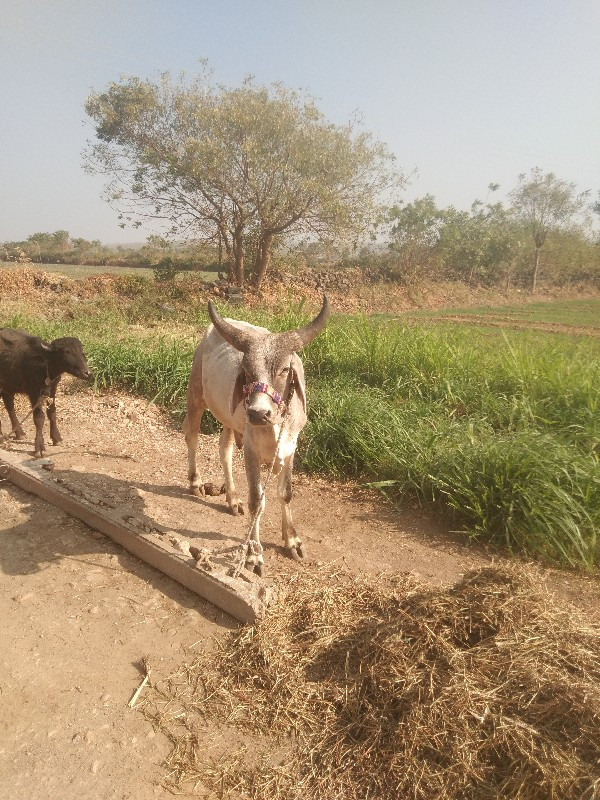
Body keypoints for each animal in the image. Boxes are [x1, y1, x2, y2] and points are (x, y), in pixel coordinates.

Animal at [185, 296, 330, 572]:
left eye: (284, 369)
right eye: (246, 370)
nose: (257, 413)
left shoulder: (290, 447)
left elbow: (285, 493)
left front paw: (292, 540)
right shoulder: (251, 450)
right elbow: (256, 500)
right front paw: (253, 553)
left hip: (230, 419)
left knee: (224, 449)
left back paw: (232, 498)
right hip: (196, 395)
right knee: (192, 436)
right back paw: (196, 482)